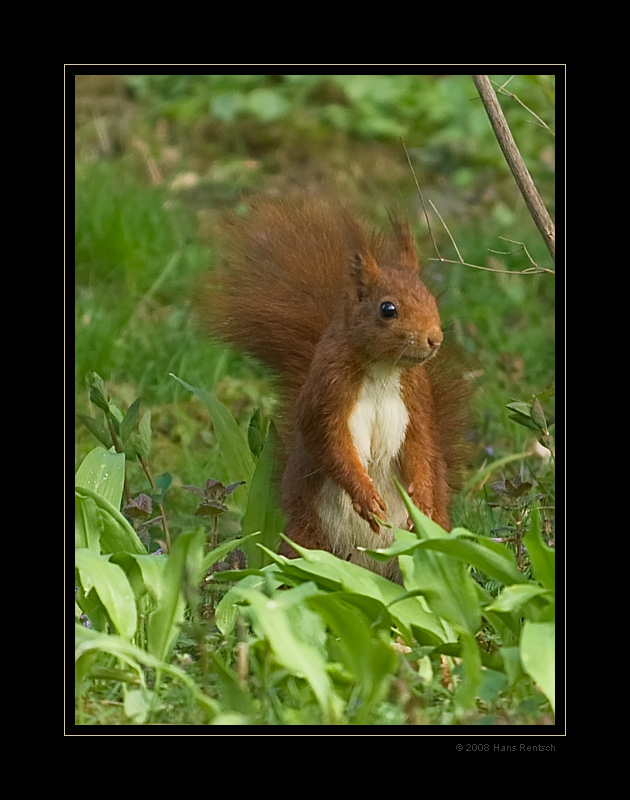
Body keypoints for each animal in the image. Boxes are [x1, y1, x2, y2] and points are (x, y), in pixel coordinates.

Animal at [201, 197, 470, 580]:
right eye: (388, 309)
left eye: (431, 298)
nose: (434, 339)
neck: (382, 370)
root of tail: (369, 569)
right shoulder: (327, 393)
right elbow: (330, 445)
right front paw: (365, 495)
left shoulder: (416, 399)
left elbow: (421, 445)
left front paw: (420, 499)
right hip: (308, 540)